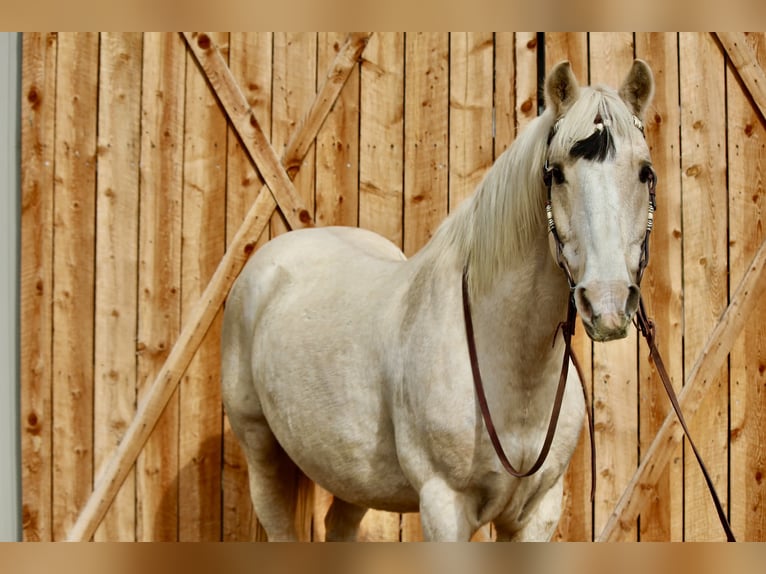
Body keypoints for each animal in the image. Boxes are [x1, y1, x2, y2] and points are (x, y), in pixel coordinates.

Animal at [221, 59, 656, 541]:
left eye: (644, 172)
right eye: (557, 173)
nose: (607, 302)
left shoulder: (537, 512)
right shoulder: (444, 505)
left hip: (351, 473)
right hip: (262, 448)